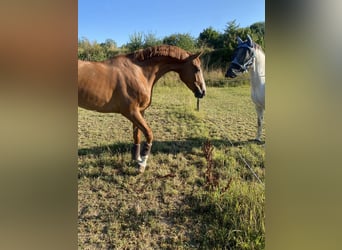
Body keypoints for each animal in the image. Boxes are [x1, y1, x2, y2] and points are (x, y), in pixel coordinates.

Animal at [78, 45, 206, 173]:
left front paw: (136, 159)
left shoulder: (139, 112)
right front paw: (142, 164)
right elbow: (149, 133)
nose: (203, 92)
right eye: (197, 69)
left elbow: (137, 135)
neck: (139, 73)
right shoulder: (131, 112)